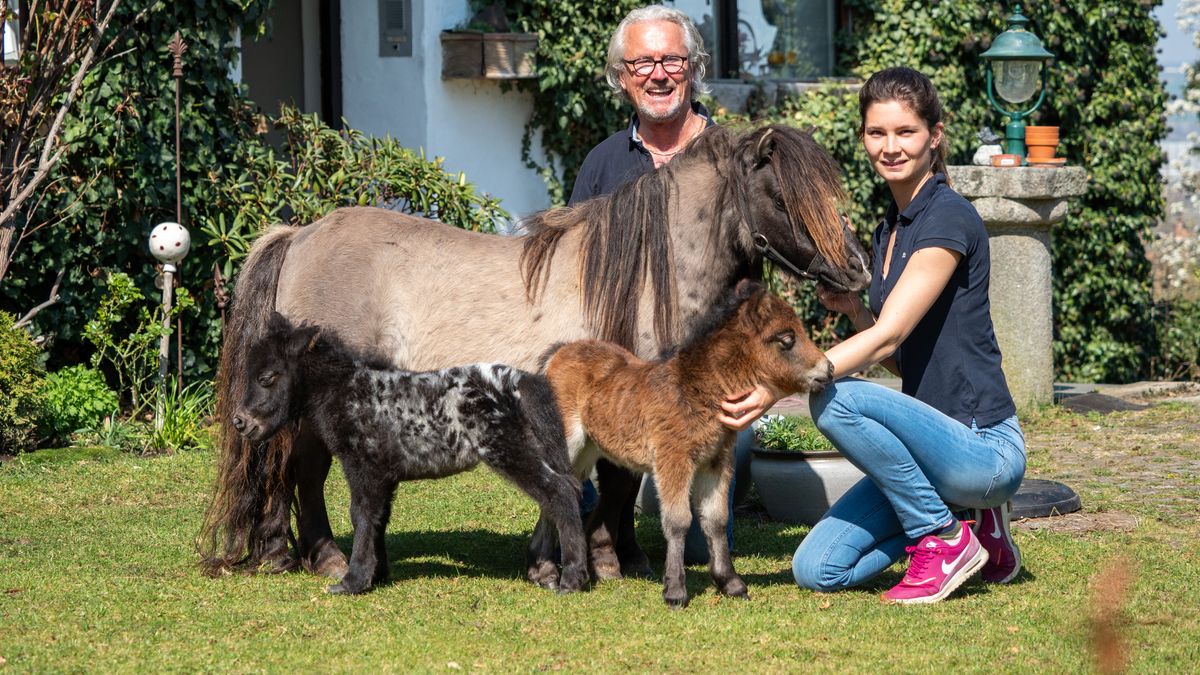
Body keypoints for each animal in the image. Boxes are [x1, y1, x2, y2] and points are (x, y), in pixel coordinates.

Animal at [229, 312, 585, 593]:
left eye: (266, 377)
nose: (241, 422)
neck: (348, 392)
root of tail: (517, 380)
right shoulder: (384, 474)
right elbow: (378, 519)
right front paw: (377, 575)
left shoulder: (363, 467)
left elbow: (362, 515)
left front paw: (353, 581)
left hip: (508, 450)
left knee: (560, 494)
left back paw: (572, 579)